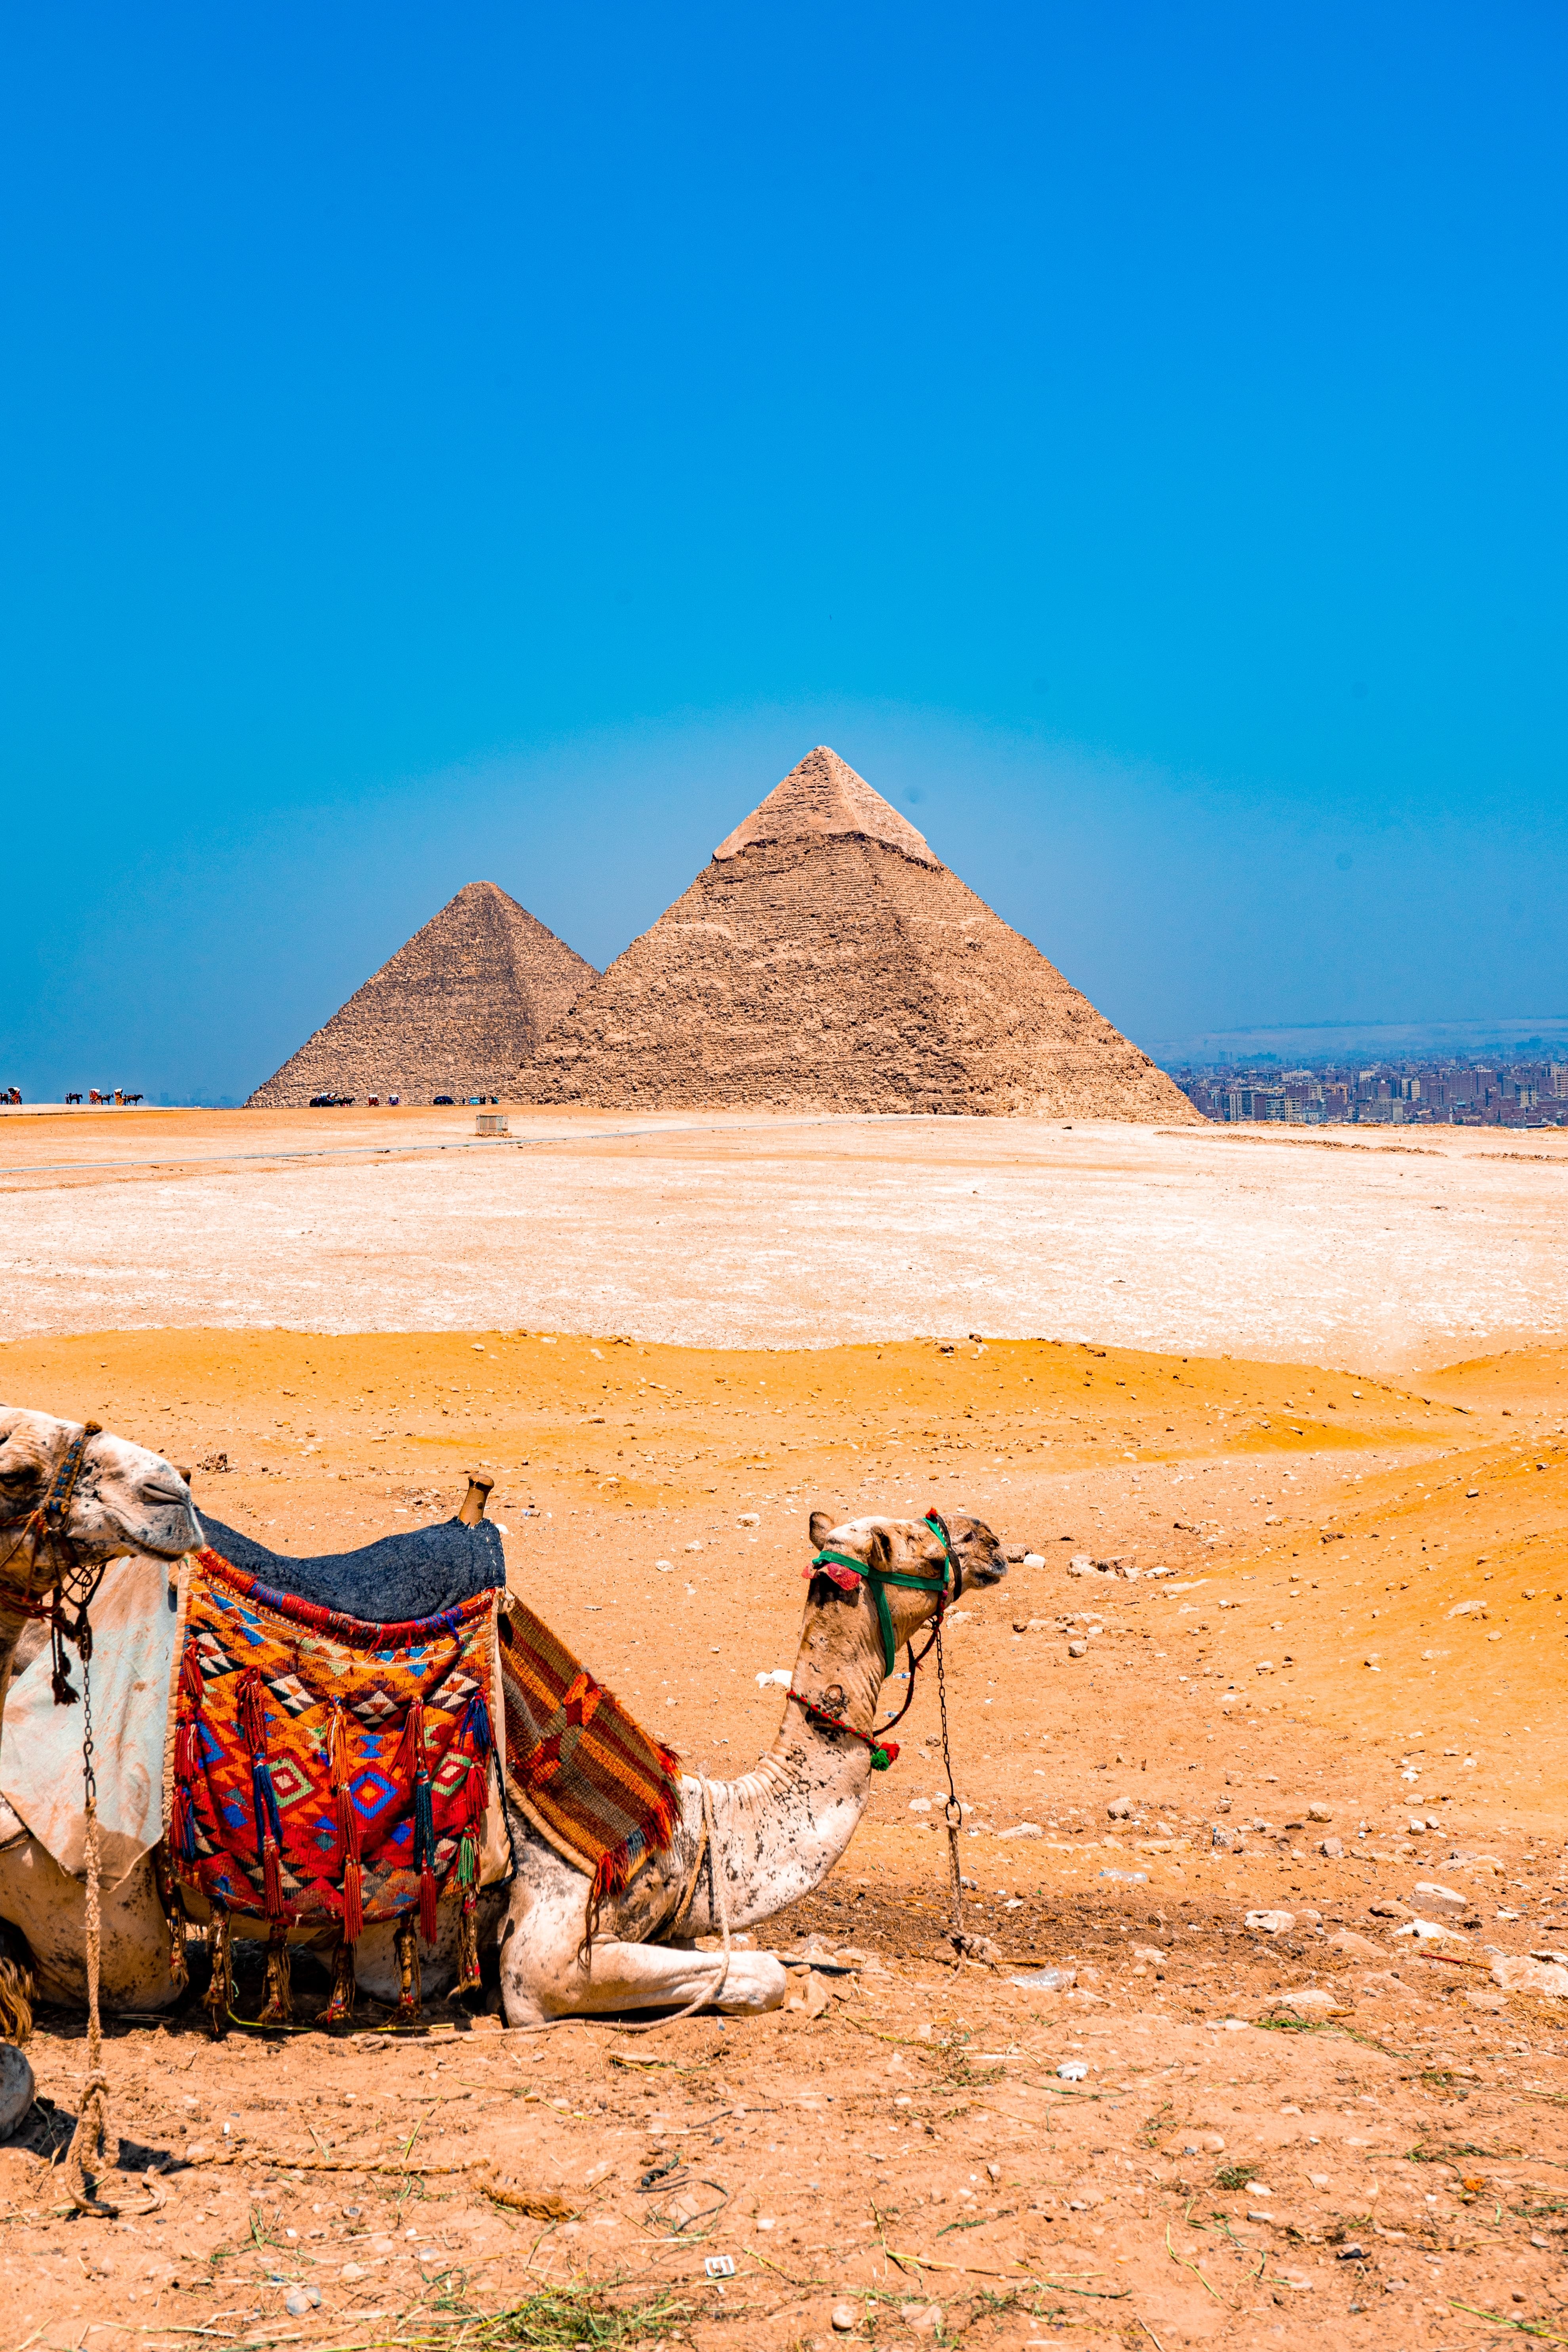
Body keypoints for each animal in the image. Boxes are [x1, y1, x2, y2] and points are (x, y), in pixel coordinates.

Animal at [0, 1506, 1005, 2025]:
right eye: (922, 1542)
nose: (990, 1539)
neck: (701, 1828)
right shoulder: (544, 1944)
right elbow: (754, 1971)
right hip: (83, 1870)